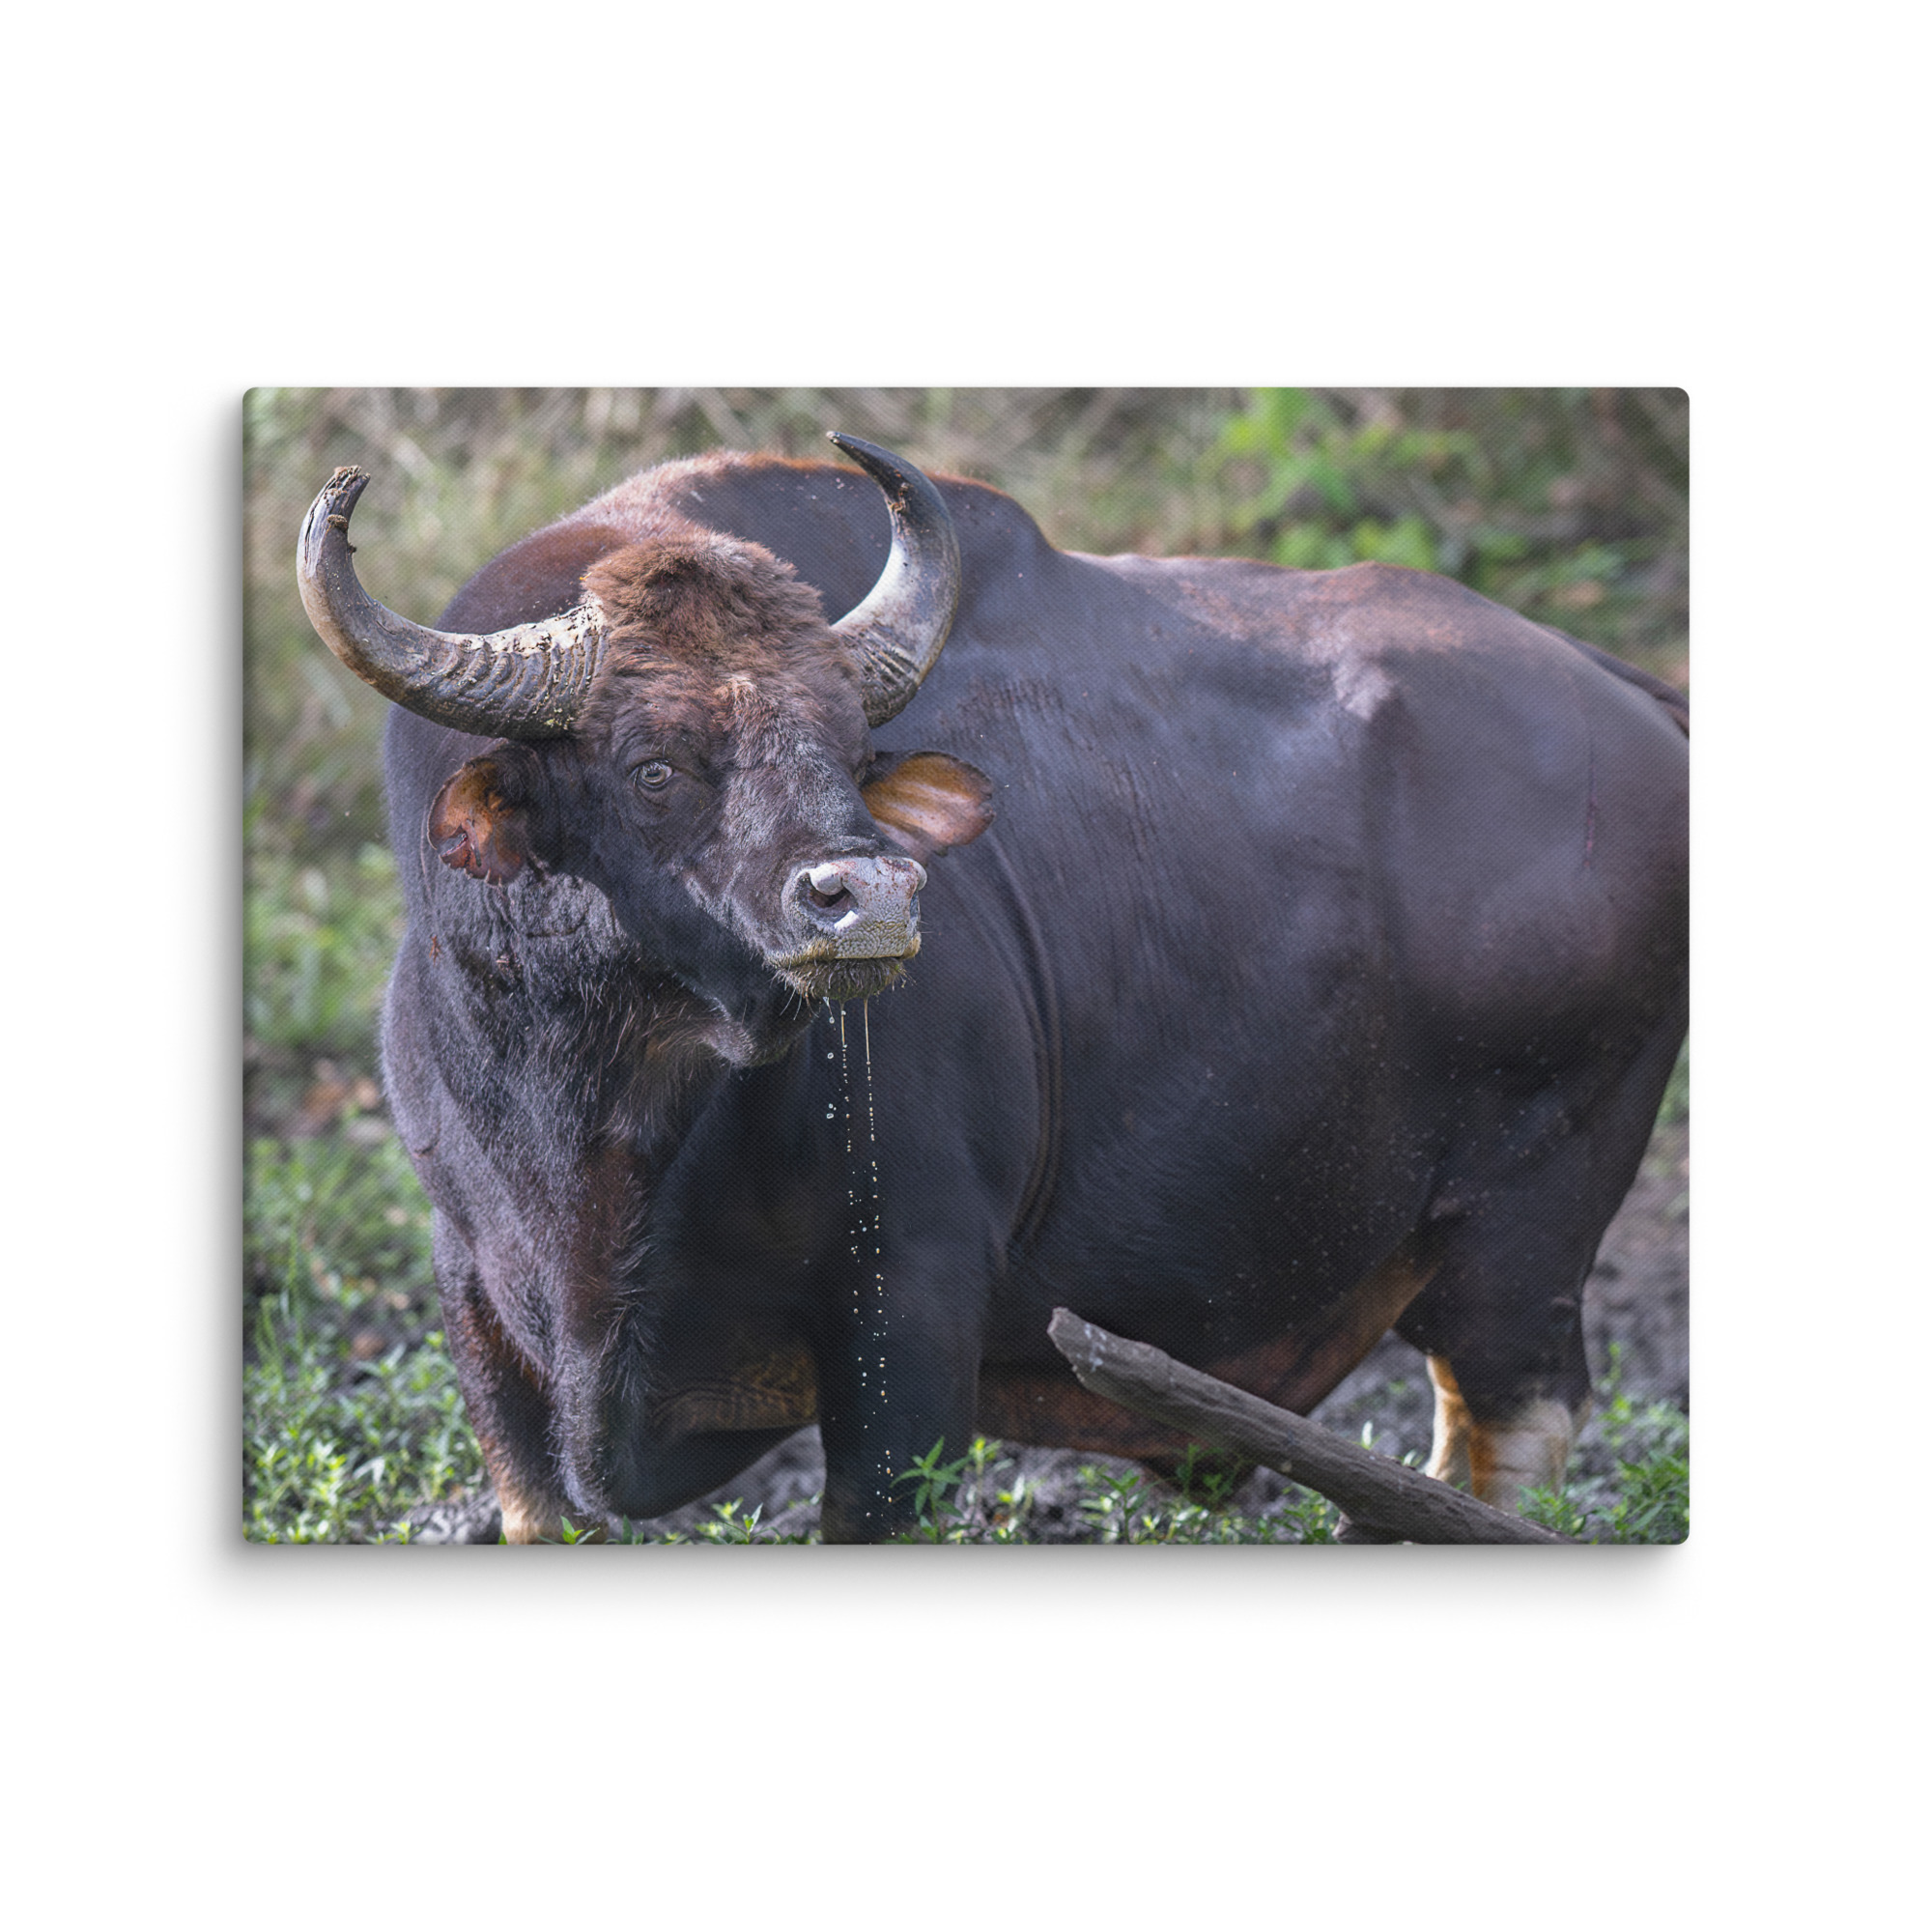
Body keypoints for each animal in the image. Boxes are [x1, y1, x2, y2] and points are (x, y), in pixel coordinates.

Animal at [298, 434, 1688, 1541]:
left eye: (848, 749)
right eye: (652, 764)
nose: (867, 895)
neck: (605, 1131)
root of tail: (1626, 696)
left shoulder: (908, 1322)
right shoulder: (481, 1320)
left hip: (1526, 1229)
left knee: (1507, 1429)